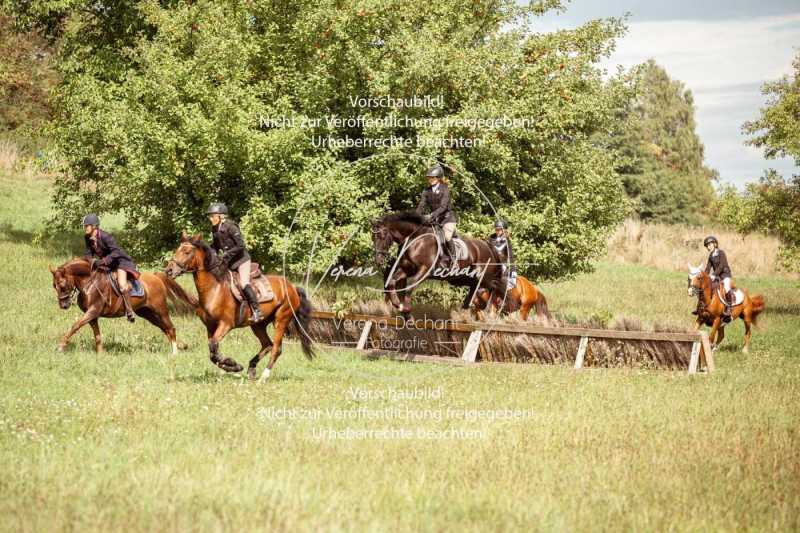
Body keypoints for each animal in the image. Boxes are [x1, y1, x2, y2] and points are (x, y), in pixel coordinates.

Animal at [48, 256, 197, 354]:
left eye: (62, 285)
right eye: (54, 286)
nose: (63, 305)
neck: (90, 282)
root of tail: (156, 276)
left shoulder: (93, 311)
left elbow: (75, 325)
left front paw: (61, 346)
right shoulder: (92, 316)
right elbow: (97, 335)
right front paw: (101, 354)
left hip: (160, 310)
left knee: (170, 327)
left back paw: (175, 352)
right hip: (146, 313)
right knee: (164, 328)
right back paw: (181, 346)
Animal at [166, 232, 316, 378]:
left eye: (186, 252)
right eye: (177, 250)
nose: (169, 270)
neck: (214, 288)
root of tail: (292, 287)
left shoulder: (226, 324)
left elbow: (213, 346)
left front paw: (231, 363)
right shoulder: (210, 326)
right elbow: (212, 351)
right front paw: (233, 366)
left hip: (281, 320)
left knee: (276, 348)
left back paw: (264, 377)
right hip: (258, 325)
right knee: (267, 344)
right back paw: (251, 368)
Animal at [372, 211, 504, 314]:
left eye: (382, 236)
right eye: (373, 238)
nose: (378, 260)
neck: (415, 238)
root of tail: (487, 246)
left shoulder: (424, 270)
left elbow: (410, 285)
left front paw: (406, 308)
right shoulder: (407, 269)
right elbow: (391, 281)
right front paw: (396, 304)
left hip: (484, 277)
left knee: (495, 287)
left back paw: (489, 309)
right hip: (463, 278)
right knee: (474, 288)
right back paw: (467, 308)